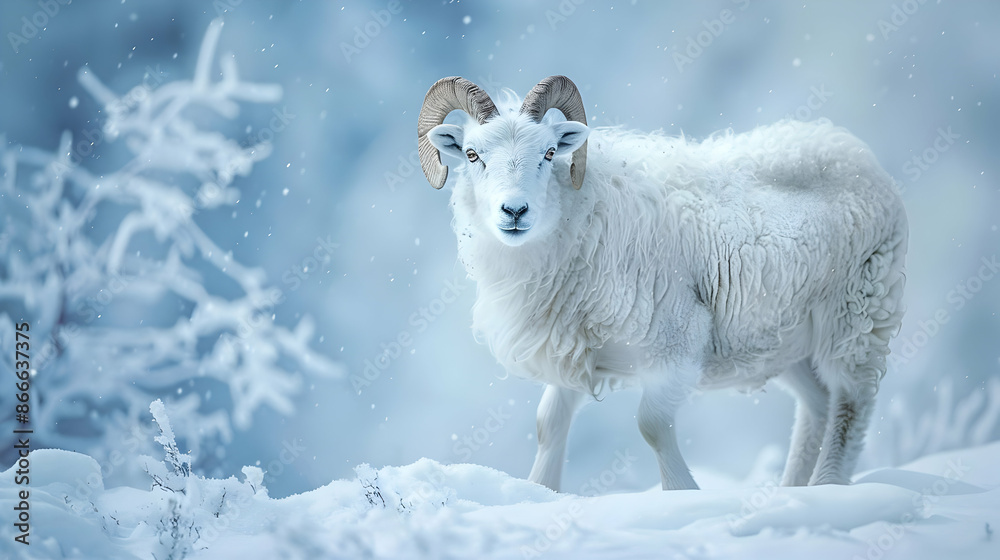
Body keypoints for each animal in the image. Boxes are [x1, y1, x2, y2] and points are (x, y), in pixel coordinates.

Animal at [416, 76, 908, 492]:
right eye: (473, 155)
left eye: (550, 153)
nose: (514, 211)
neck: (584, 220)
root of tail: (850, 148)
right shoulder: (575, 348)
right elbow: (548, 424)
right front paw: (540, 492)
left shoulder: (677, 342)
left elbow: (651, 426)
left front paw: (684, 495)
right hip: (786, 340)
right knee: (817, 404)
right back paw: (792, 492)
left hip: (857, 313)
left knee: (851, 403)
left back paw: (827, 489)